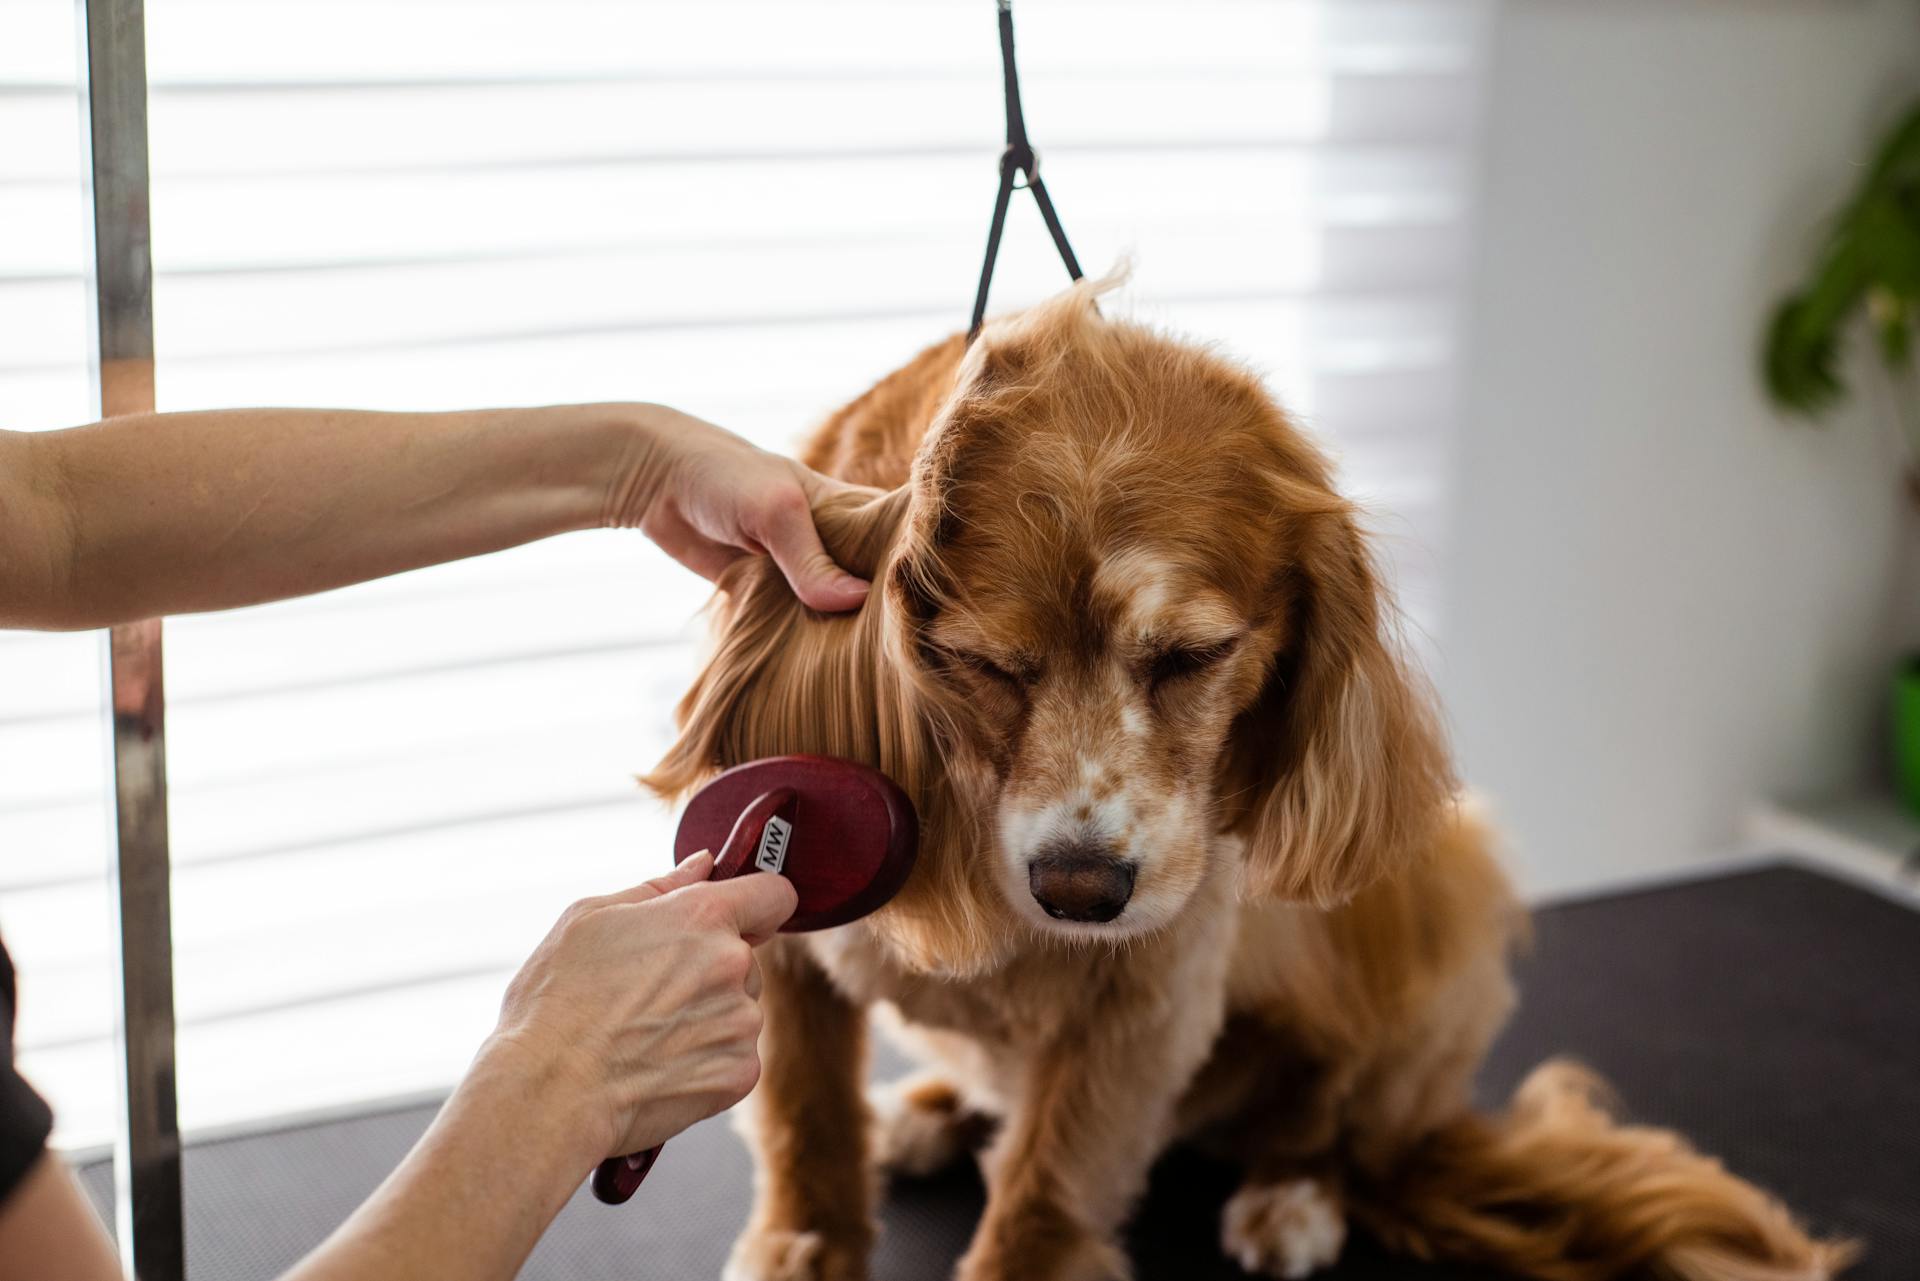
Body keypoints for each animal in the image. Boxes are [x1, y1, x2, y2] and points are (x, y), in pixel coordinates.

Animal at [652, 282, 1850, 1281]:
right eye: (985, 664)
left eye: (1194, 657)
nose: (1082, 892)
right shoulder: (784, 935)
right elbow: (805, 1121)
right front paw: (800, 1245)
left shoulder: (1143, 1000)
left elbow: (1047, 1190)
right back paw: (934, 1107)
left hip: (1443, 910)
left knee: (1332, 1125)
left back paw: (1293, 1197)